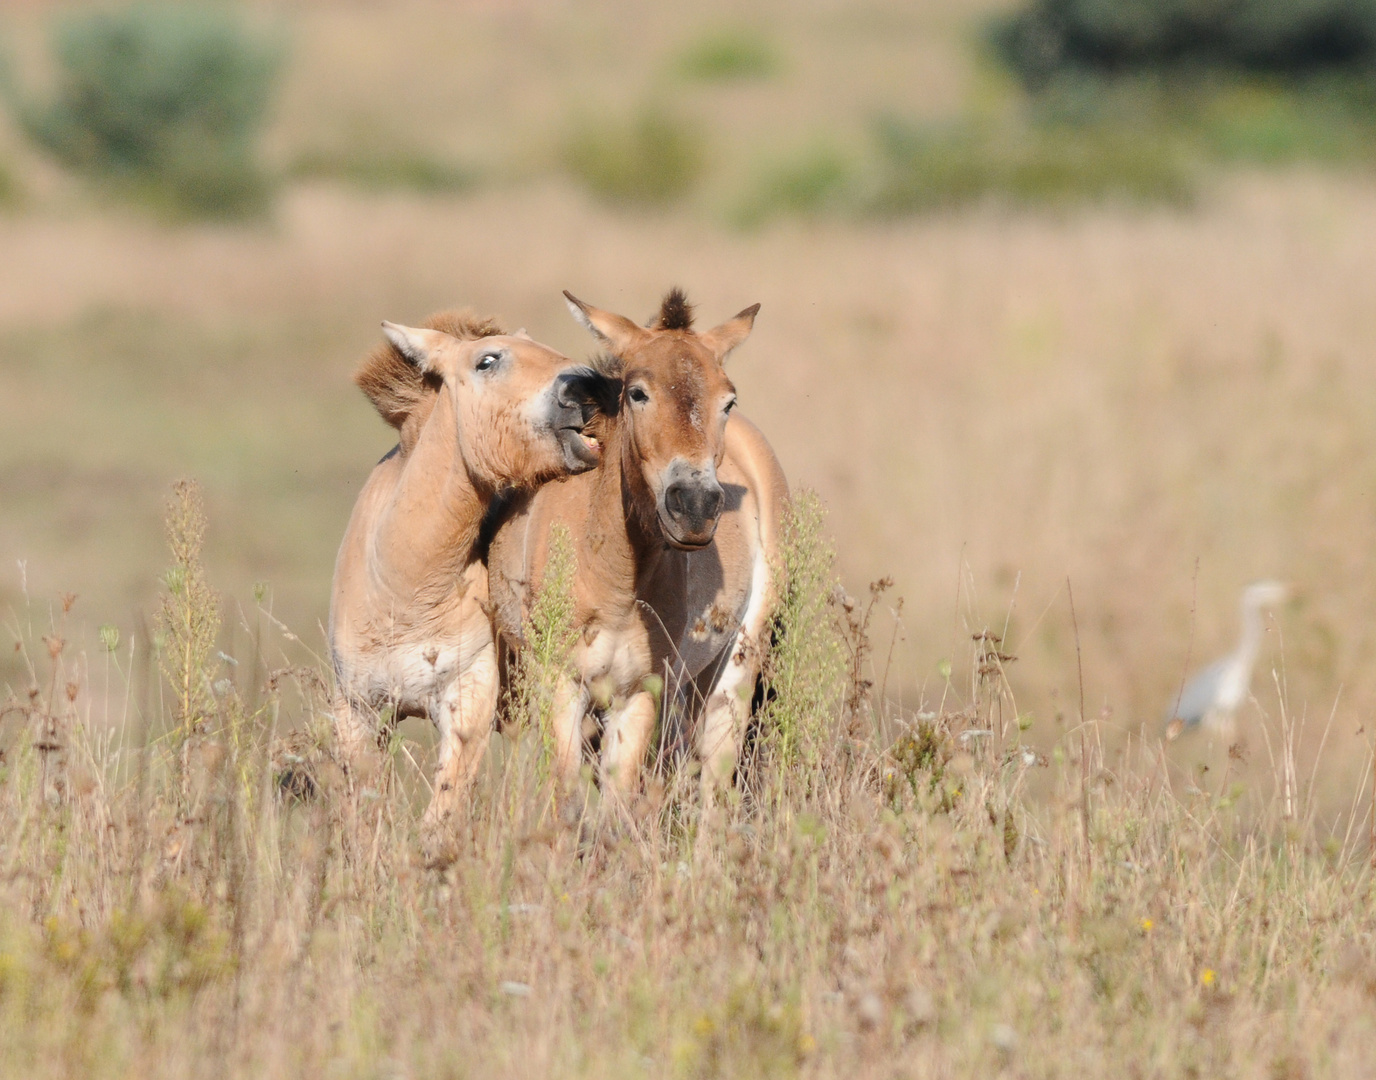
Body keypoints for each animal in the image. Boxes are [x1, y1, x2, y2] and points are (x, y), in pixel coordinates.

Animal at [330, 308, 605, 836]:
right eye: (488, 361)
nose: (590, 387)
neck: (404, 588)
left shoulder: (468, 703)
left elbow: (439, 821)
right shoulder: (356, 712)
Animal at [487, 290, 787, 797]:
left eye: (728, 400)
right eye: (637, 392)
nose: (695, 506)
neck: (611, 579)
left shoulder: (638, 696)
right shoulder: (561, 687)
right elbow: (566, 796)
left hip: (734, 671)